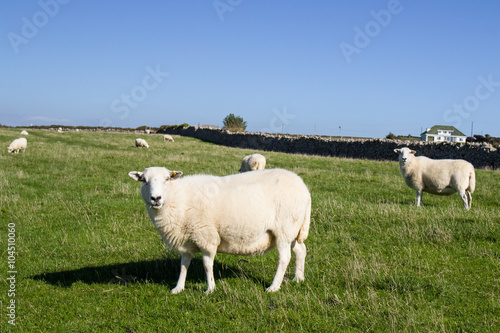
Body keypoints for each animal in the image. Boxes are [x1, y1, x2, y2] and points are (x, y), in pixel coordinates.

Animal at [127, 167, 310, 292]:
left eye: (167, 179)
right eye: (144, 180)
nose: (156, 198)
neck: (179, 198)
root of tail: (304, 188)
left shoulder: (206, 236)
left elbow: (207, 265)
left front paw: (210, 289)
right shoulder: (187, 240)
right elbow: (184, 265)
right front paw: (178, 288)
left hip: (284, 229)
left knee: (284, 258)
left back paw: (273, 287)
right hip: (293, 229)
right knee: (300, 250)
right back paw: (298, 278)